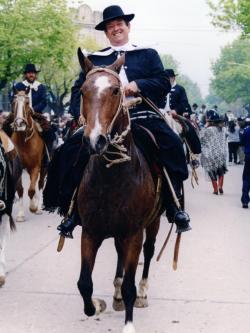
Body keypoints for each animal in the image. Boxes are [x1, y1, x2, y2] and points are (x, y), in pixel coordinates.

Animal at [11, 89, 46, 222]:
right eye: (13, 102)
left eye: (27, 103)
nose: (20, 123)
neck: (24, 141)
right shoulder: (18, 167)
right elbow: (20, 189)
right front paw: (21, 214)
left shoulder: (36, 166)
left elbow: (31, 190)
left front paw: (33, 207)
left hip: (44, 167)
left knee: (40, 184)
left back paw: (39, 206)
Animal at [76, 48, 162, 330]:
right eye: (82, 90)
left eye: (116, 90)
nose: (95, 140)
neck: (111, 178)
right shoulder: (90, 232)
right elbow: (84, 283)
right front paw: (96, 305)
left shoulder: (134, 232)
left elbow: (129, 286)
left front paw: (129, 324)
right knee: (119, 256)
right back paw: (114, 295)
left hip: (153, 222)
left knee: (149, 250)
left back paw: (143, 293)